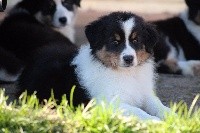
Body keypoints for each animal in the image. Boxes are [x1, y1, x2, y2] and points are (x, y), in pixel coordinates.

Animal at [17, 11, 170, 120]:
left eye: (136, 40)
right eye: (115, 42)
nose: (128, 59)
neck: (125, 73)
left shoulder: (144, 93)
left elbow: (157, 104)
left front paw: (171, 115)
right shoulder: (107, 101)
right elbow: (137, 111)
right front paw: (155, 121)